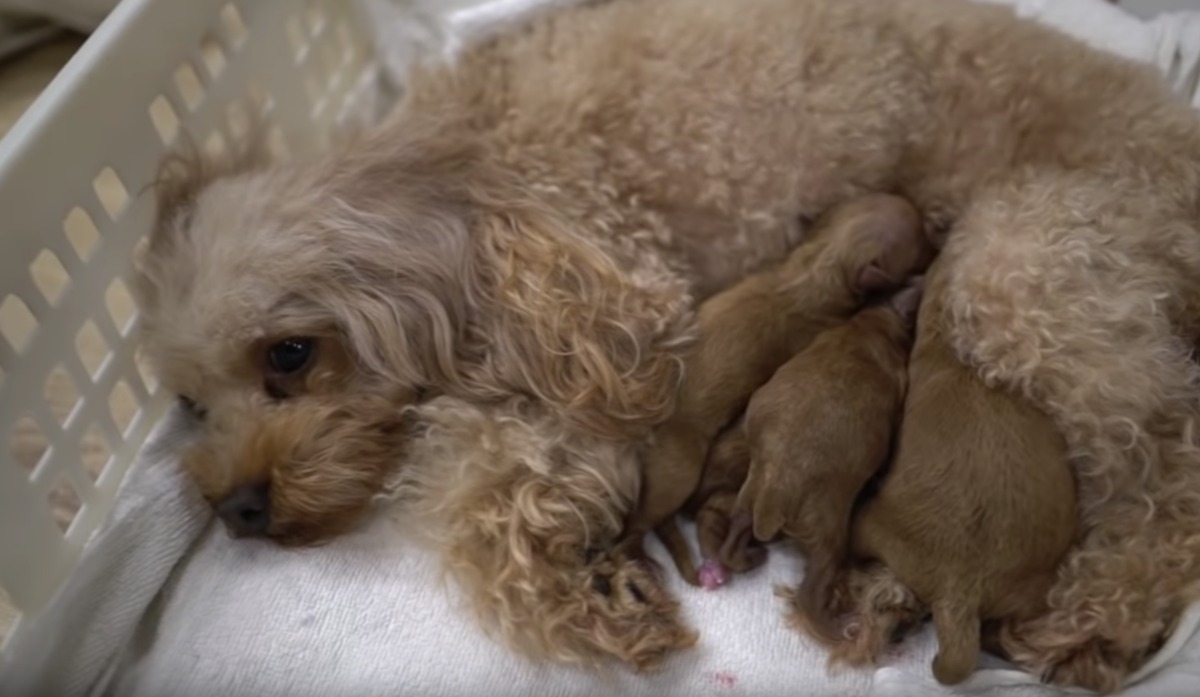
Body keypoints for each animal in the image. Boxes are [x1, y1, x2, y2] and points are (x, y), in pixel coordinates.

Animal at [619, 194, 936, 575]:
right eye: (920, 245)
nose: (939, 242)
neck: (814, 267)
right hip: (678, 470)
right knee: (637, 524)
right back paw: (637, 554)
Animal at [734, 280, 921, 638]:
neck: (869, 326)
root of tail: (774, 494)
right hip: (828, 534)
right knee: (811, 592)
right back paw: (838, 627)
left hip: (749, 491)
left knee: (736, 528)